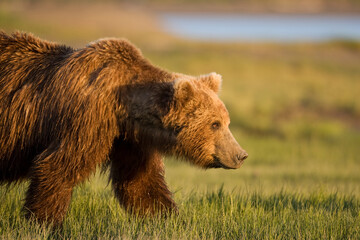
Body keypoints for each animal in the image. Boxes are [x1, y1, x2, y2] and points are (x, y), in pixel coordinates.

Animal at [0, 31, 248, 227]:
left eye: (227, 122)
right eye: (214, 124)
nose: (240, 155)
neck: (122, 108)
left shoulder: (128, 139)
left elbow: (142, 183)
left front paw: (168, 219)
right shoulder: (86, 120)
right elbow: (58, 167)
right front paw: (45, 223)